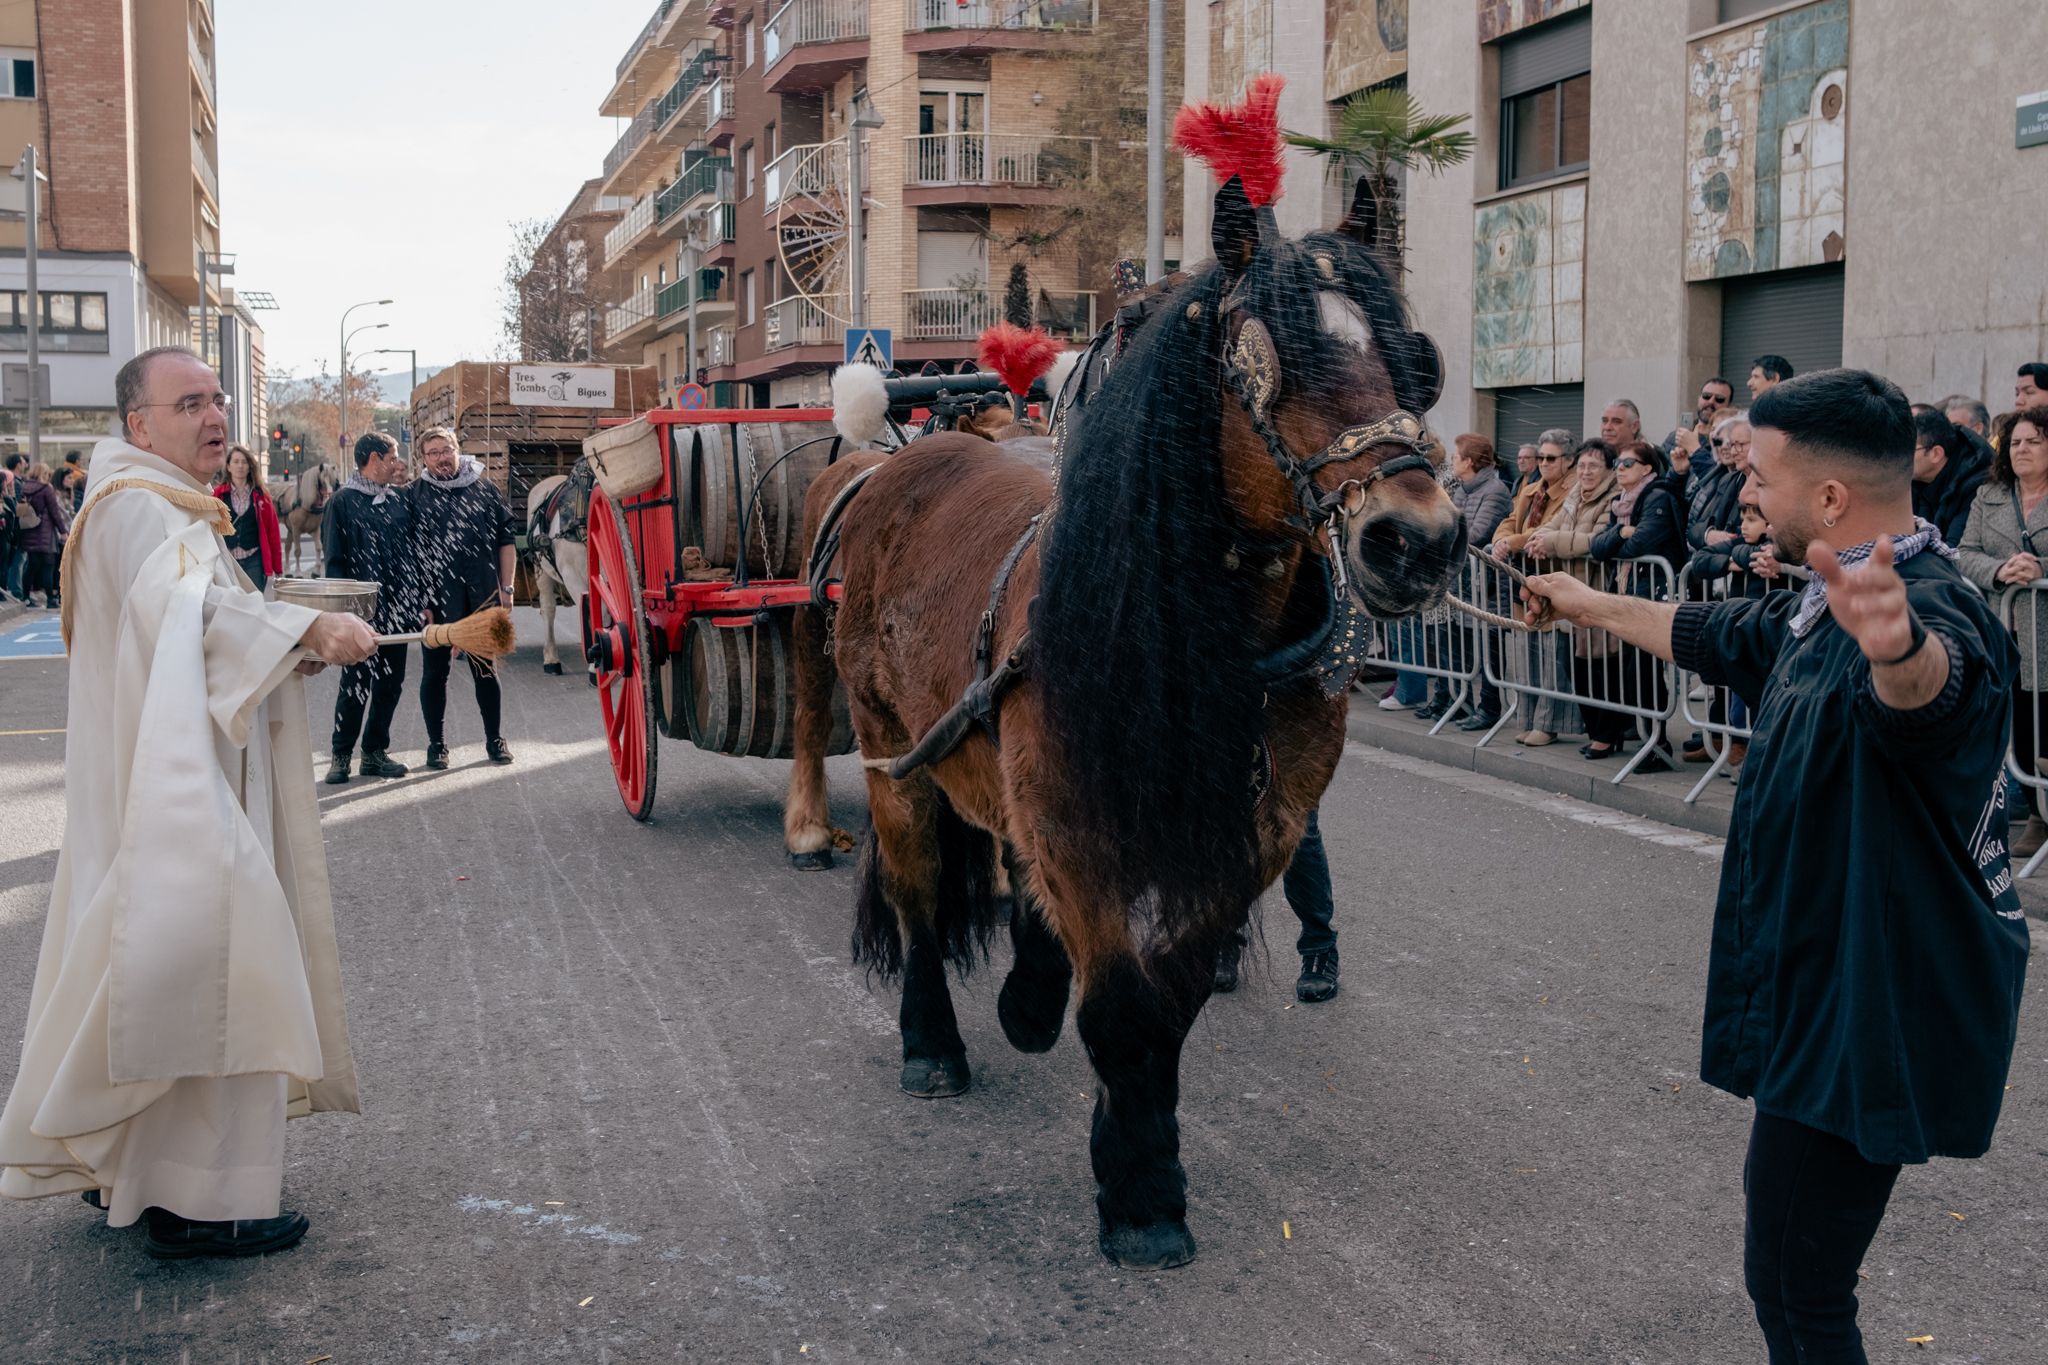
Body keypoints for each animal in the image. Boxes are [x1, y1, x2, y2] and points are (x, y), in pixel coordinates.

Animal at [774, 181, 1466, 1268]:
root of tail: (900, 460)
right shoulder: (1081, 828)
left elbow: (1167, 998)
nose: (1420, 540)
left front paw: (1141, 1156)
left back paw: (1024, 994)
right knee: (919, 895)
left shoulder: (1244, 839)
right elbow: (1118, 1004)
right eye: (1274, 355)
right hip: (894, 752)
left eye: (1414, 355)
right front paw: (1137, 1194)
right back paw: (931, 1040)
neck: (1192, 629)